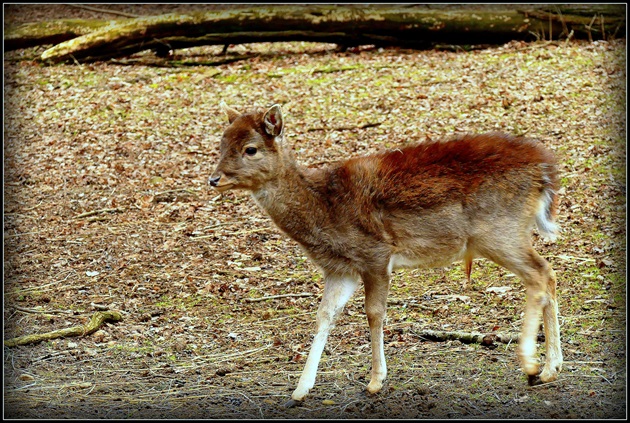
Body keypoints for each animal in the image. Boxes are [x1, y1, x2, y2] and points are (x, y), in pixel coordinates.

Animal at [210, 102, 564, 408]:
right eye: (221, 144)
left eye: (251, 149)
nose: (215, 179)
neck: (323, 211)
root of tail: (546, 170)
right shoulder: (340, 270)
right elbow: (324, 315)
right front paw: (300, 390)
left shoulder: (375, 254)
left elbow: (374, 313)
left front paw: (375, 381)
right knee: (549, 274)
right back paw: (551, 368)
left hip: (498, 231)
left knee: (540, 274)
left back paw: (531, 365)